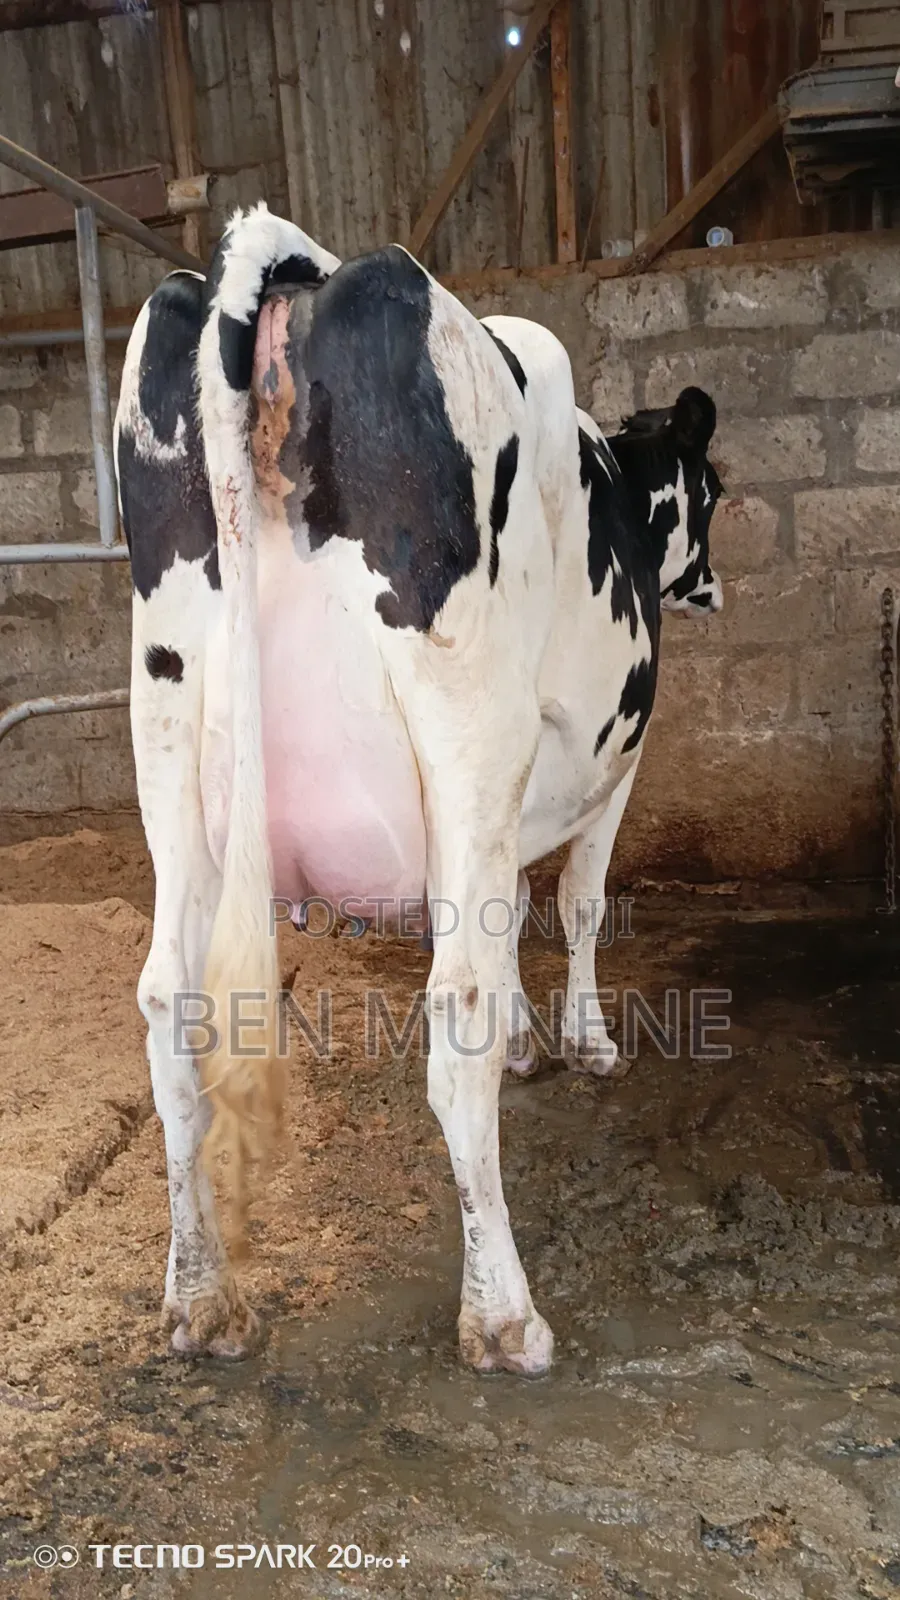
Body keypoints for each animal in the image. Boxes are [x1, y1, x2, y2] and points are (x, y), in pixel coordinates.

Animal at [114, 204, 723, 1375]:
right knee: (455, 1008)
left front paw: (539, 1038)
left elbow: (515, 902)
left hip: (166, 728)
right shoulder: (615, 758)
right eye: (713, 497)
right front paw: (584, 1042)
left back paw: (198, 1297)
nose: (711, 586)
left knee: (171, 1002)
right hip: (463, 715)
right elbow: (576, 900)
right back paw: (503, 1315)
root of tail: (302, 271)